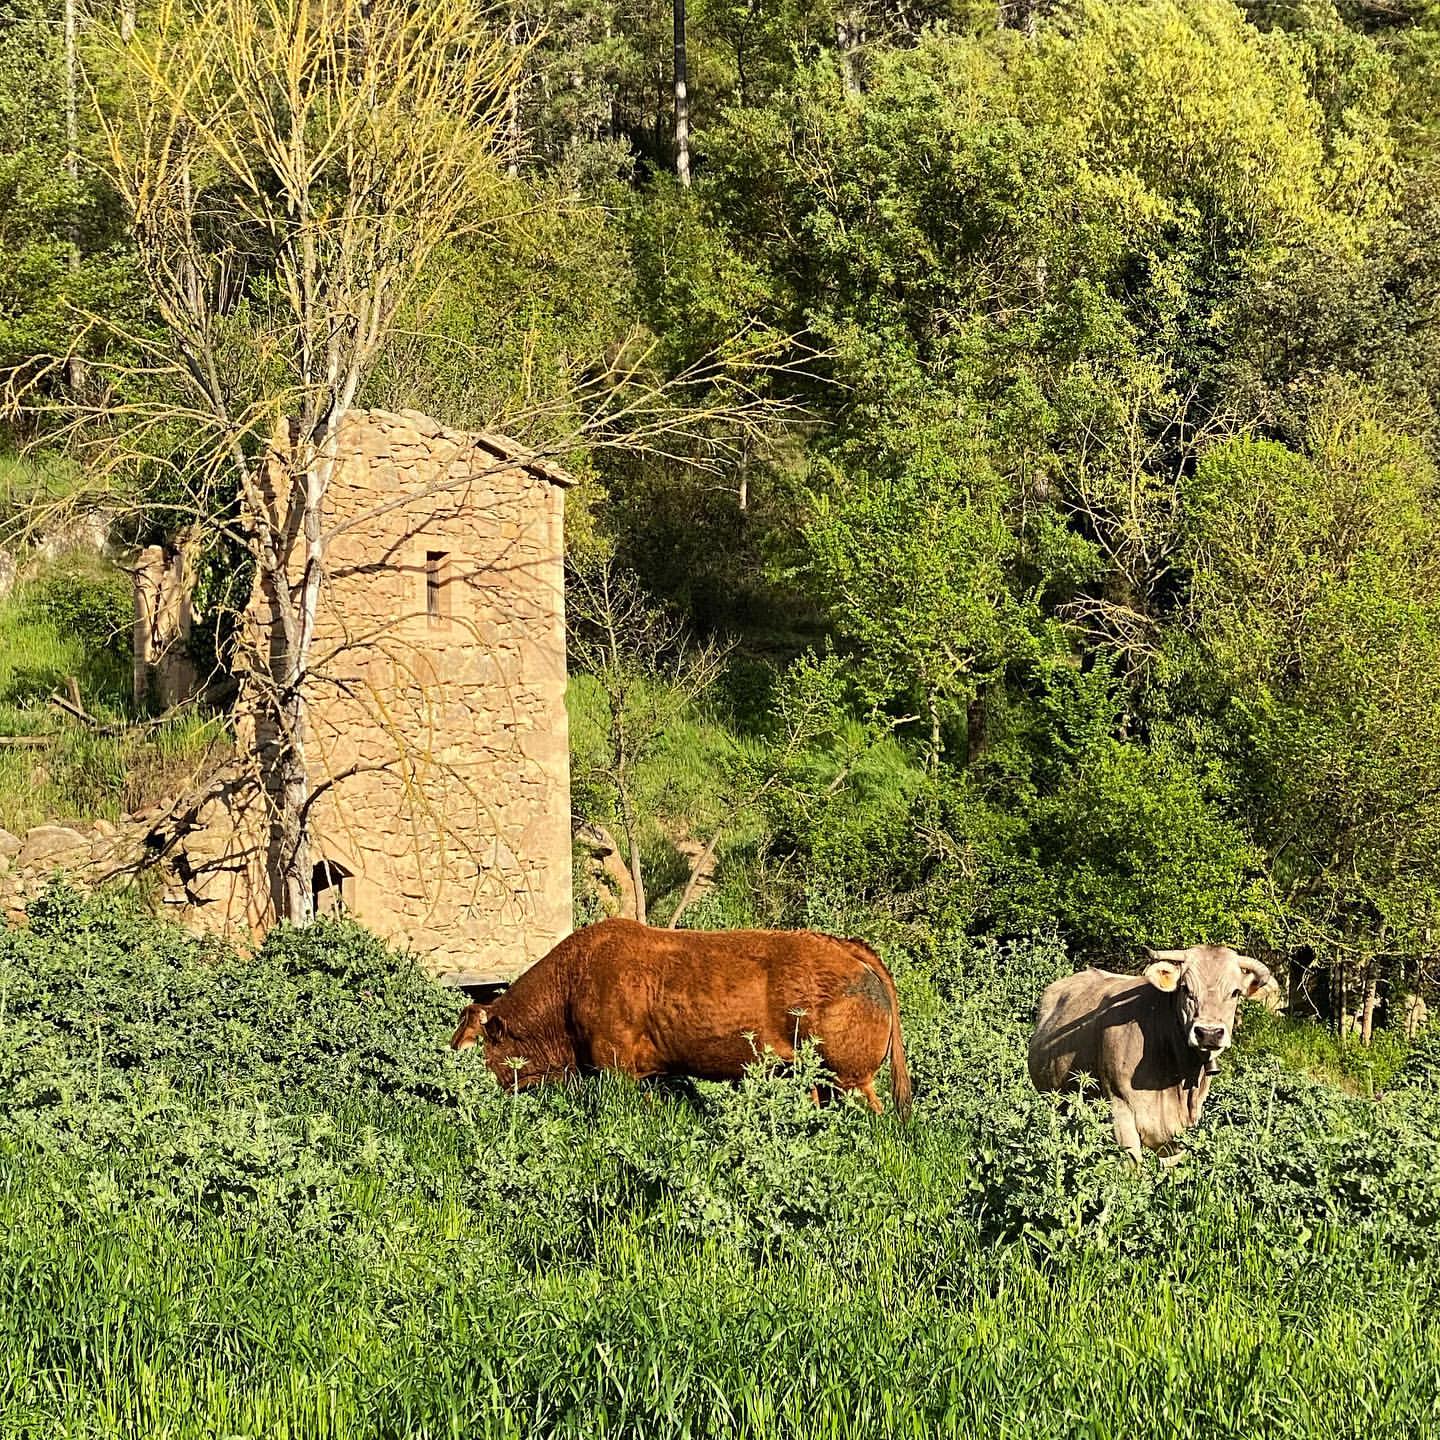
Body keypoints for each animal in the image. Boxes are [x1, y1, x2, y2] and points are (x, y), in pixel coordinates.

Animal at [450, 917, 912, 1119]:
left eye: (469, 1047)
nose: (448, 1092)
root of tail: (842, 944)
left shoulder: (613, 1065)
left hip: (850, 1077)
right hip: (815, 1077)